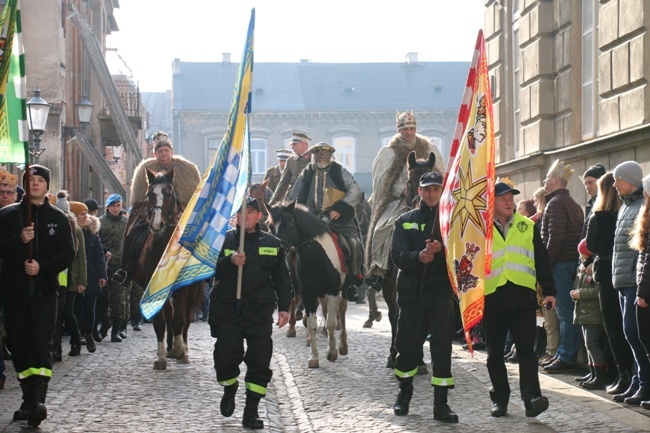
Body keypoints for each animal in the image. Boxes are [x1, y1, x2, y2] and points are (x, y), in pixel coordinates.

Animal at [130, 168, 202, 368]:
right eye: (149, 194)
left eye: (169, 194)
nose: (157, 224)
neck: (164, 247)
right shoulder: (152, 285)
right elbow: (160, 322)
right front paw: (161, 357)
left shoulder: (183, 288)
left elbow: (180, 319)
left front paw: (179, 350)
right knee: (169, 315)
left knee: (185, 318)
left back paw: (183, 350)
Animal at [266, 201, 346, 366]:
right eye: (269, 225)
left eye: (288, 223)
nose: (277, 249)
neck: (316, 256)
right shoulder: (307, 293)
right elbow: (311, 324)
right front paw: (314, 356)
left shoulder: (333, 292)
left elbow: (330, 323)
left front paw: (332, 352)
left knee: (342, 310)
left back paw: (342, 345)